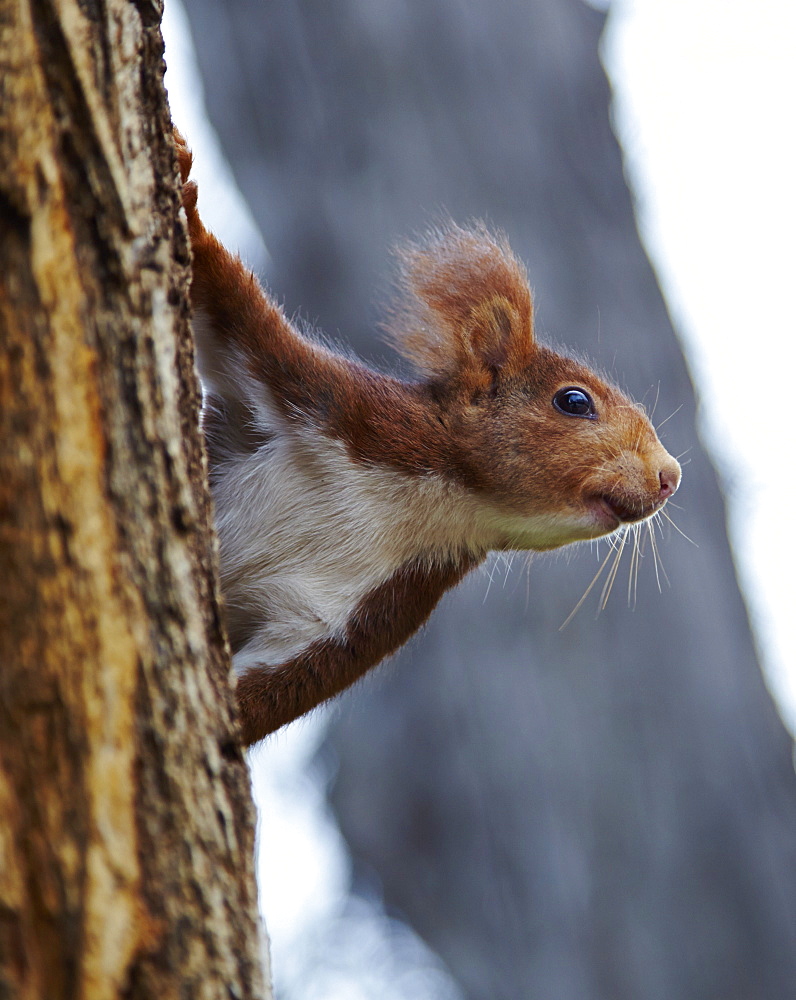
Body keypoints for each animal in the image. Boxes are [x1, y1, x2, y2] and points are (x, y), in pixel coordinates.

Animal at [173, 133, 676, 748]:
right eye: (574, 401)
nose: (670, 476)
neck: (434, 499)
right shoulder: (331, 399)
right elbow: (232, 311)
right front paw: (185, 191)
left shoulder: (365, 612)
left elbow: (265, 693)